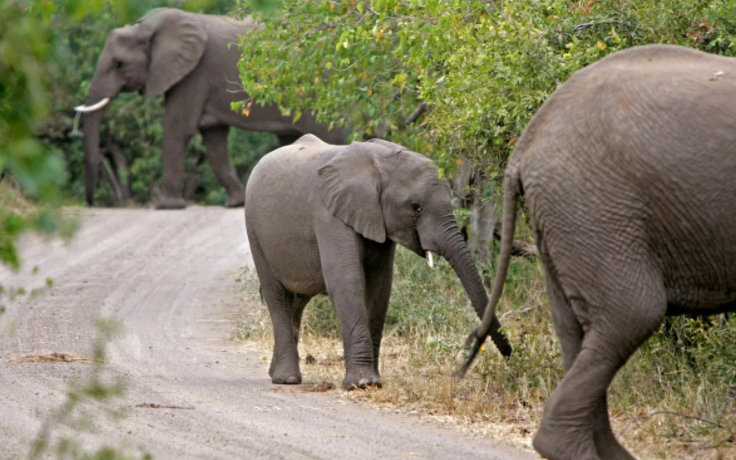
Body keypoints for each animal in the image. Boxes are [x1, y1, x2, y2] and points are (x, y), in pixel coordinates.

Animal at [76, 7, 346, 208]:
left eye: (119, 64)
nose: (90, 202)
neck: (146, 28)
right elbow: (213, 137)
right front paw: (236, 203)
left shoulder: (194, 73)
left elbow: (178, 128)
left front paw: (167, 206)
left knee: (328, 133)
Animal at [246, 135, 512, 390]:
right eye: (415, 208)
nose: (511, 355)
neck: (378, 161)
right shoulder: (329, 215)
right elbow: (346, 282)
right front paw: (363, 383)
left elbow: (380, 286)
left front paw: (374, 381)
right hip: (254, 230)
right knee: (277, 296)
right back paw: (286, 379)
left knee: (298, 300)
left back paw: (276, 373)